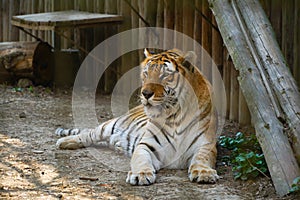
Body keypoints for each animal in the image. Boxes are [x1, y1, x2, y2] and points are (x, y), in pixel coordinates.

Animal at [55, 48, 218, 186]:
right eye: (146, 73)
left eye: (164, 75)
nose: (145, 94)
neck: (175, 115)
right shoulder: (146, 145)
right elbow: (140, 159)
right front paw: (141, 174)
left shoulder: (205, 144)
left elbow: (202, 158)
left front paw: (204, 173)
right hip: (108, 126)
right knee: (88, 134)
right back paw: (65, 142)